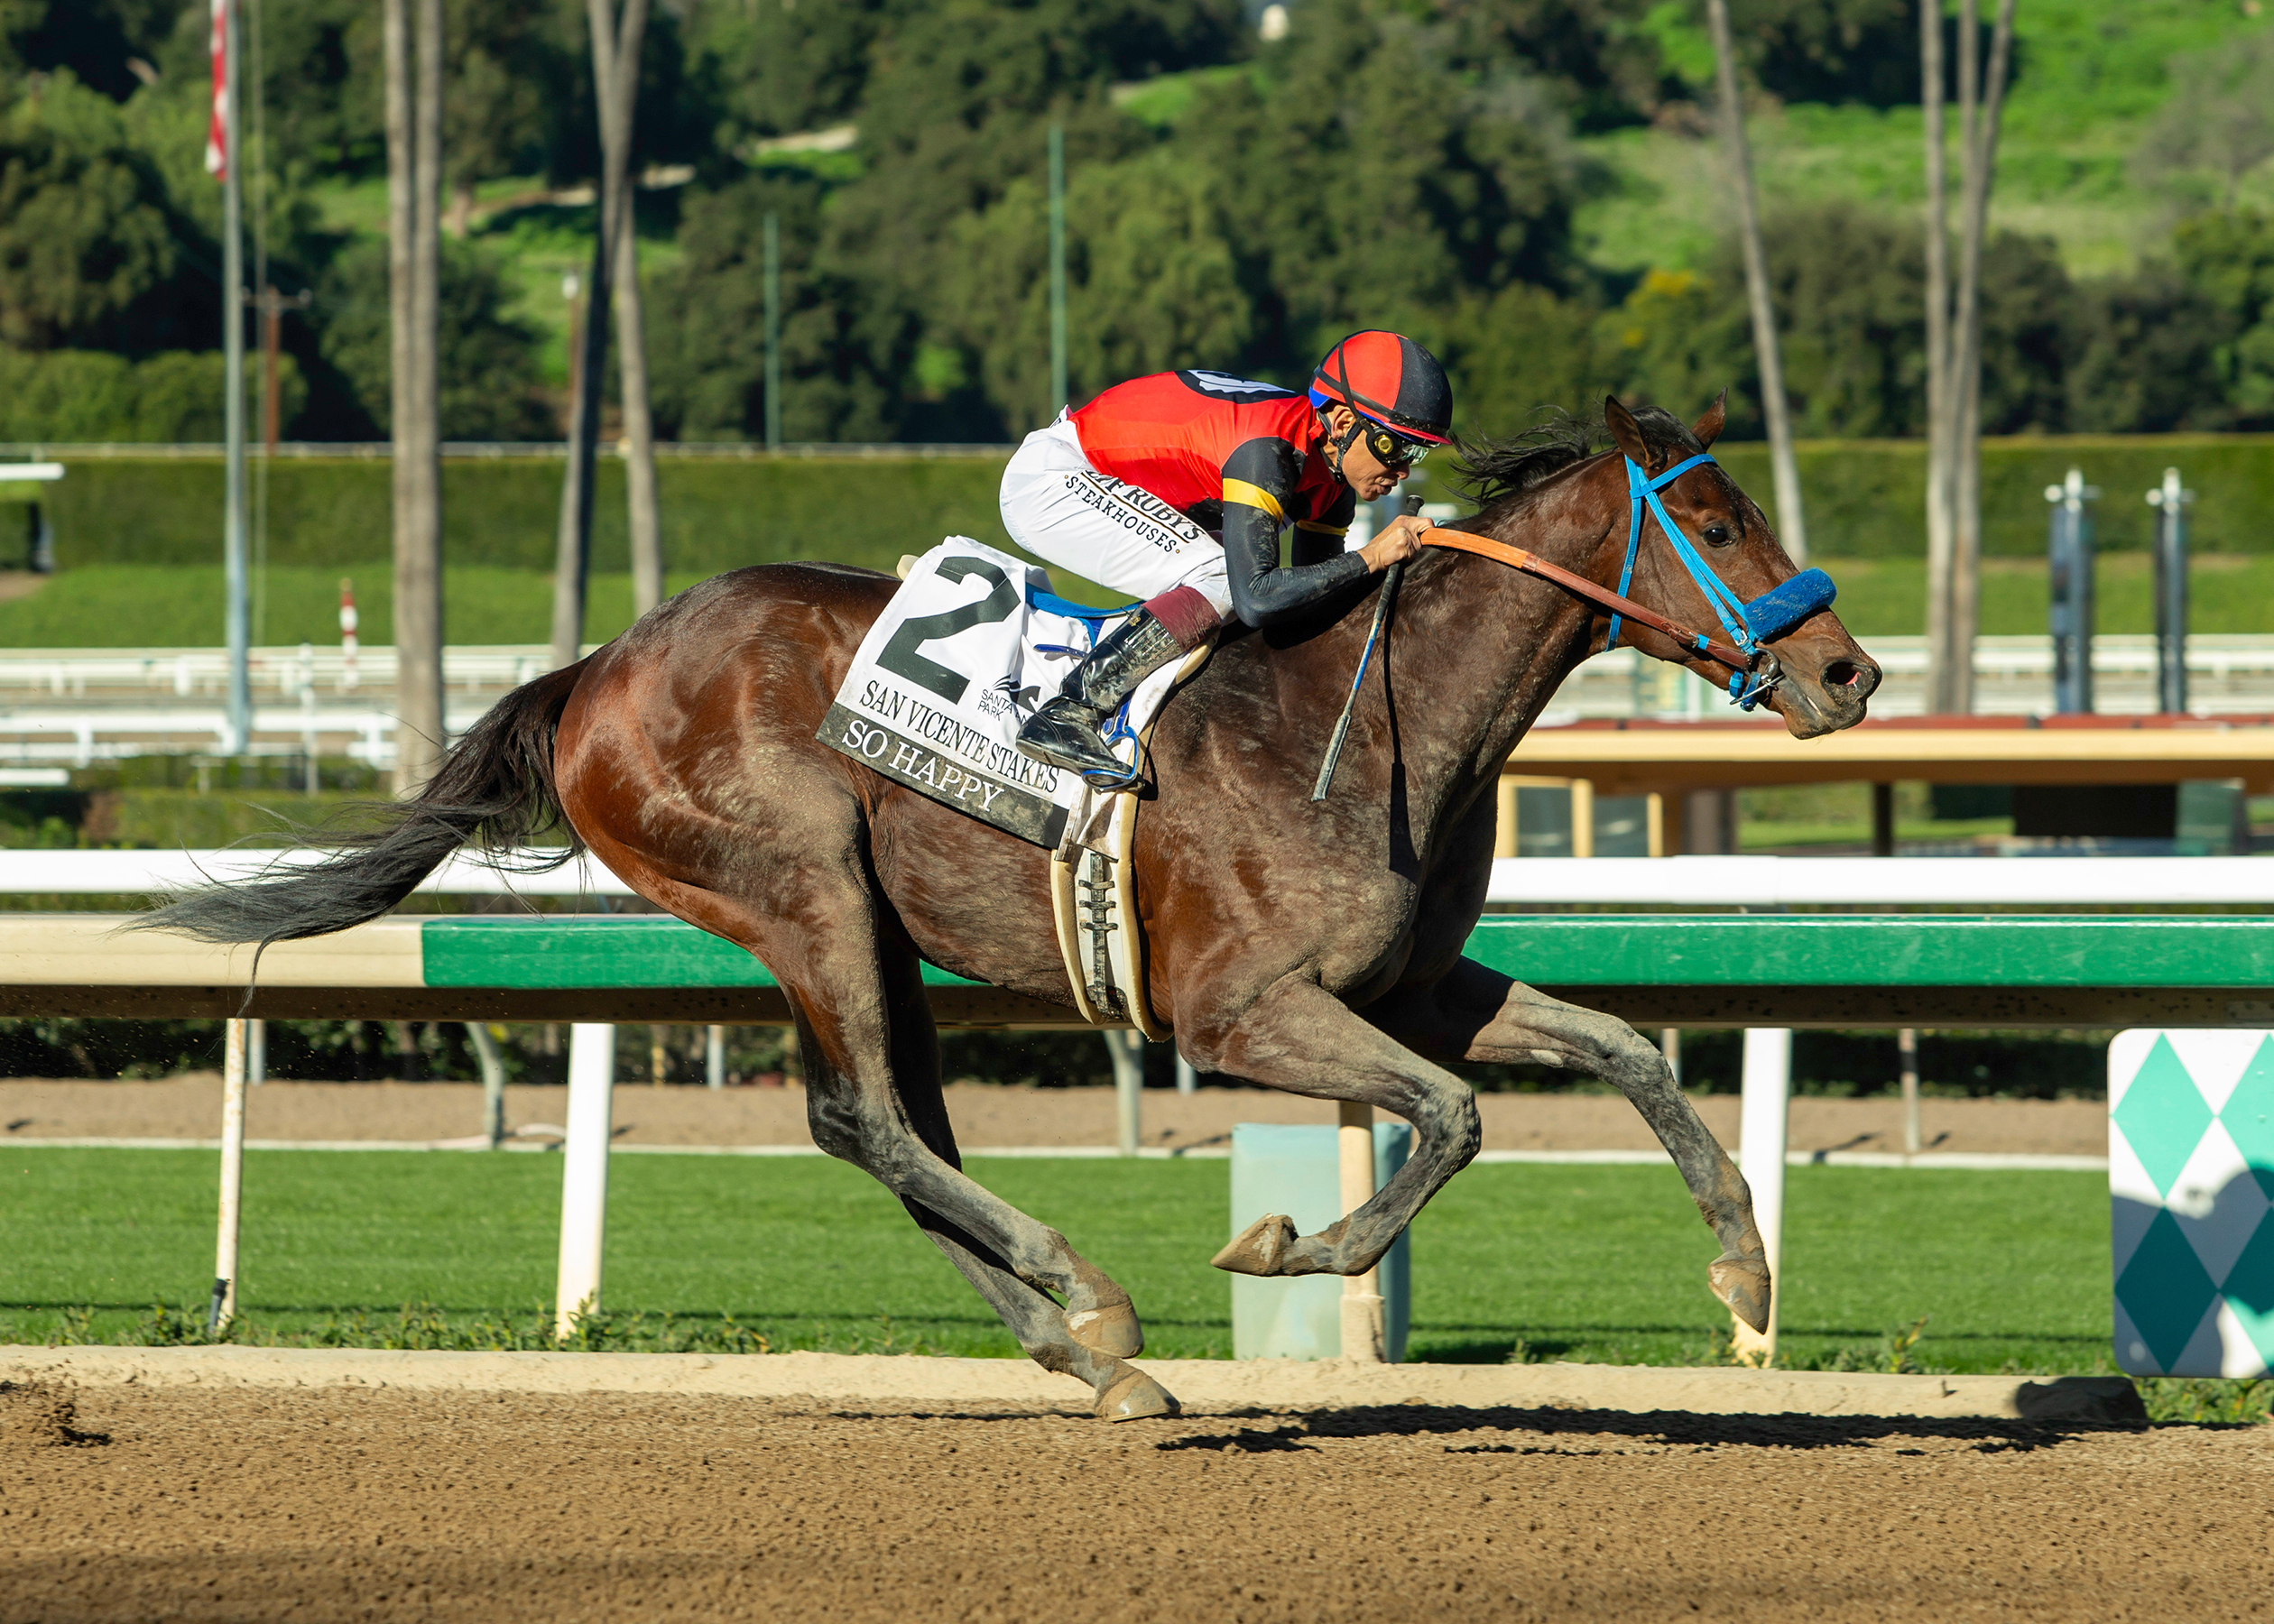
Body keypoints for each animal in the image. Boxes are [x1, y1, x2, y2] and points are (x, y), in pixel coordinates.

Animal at [146, 394, 1881, 1420]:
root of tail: (599, 668)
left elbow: (1625, 1048)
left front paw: (1746, 1279)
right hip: (802, 888)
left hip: (864, 927)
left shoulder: (1399, 986)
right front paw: (1289, 1247)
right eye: (1714, 523)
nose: (1848, 671)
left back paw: (1080, 1351)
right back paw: (1094, 1304)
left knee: (889, 1128)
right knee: (869, 1120)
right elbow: (1453, 1119)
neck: (1370, 716)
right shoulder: (1242, 1009)